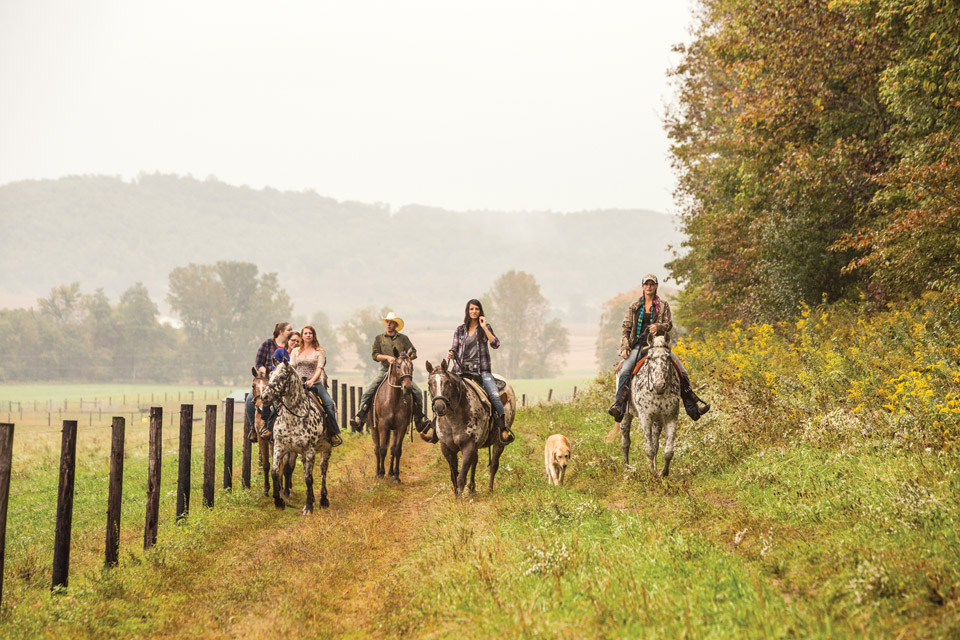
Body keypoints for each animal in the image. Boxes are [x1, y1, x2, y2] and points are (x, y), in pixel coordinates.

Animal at [260, 360, 336, 516]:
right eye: (270, 374)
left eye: (282, 376)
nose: (264, 397)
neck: (293, 417)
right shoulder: (279, 448)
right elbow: (275, 473)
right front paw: (279, 502)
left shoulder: (310, 450)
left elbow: (308, 478)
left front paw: (308, 507)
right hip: (302, 454)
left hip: (326, 449)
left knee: (323, 469)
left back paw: (323, 500)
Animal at [368, 348, 412, 482]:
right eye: (398, 366)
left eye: (411, 366)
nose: (408, 387)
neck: (394, 399)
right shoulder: (383, 426)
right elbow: (382, 450)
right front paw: (381, 473)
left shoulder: (401, 426)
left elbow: (397, 450)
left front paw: (396, 476)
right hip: (374, 427)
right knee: (377, 449)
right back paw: (378, 473)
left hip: (394, 430)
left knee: (392, 448)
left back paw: (391, 472)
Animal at [620, 332, 680, 478]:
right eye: (650, 357)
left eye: (668, 357)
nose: (659, 385)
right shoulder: (645, 417)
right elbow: (649, 449)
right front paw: (652, 473)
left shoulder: (671, 416)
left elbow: (668, 451)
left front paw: (663, 472)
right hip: (625, 416)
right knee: (625, 442)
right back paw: (627, 468)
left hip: (657, 421)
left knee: (656, 443)